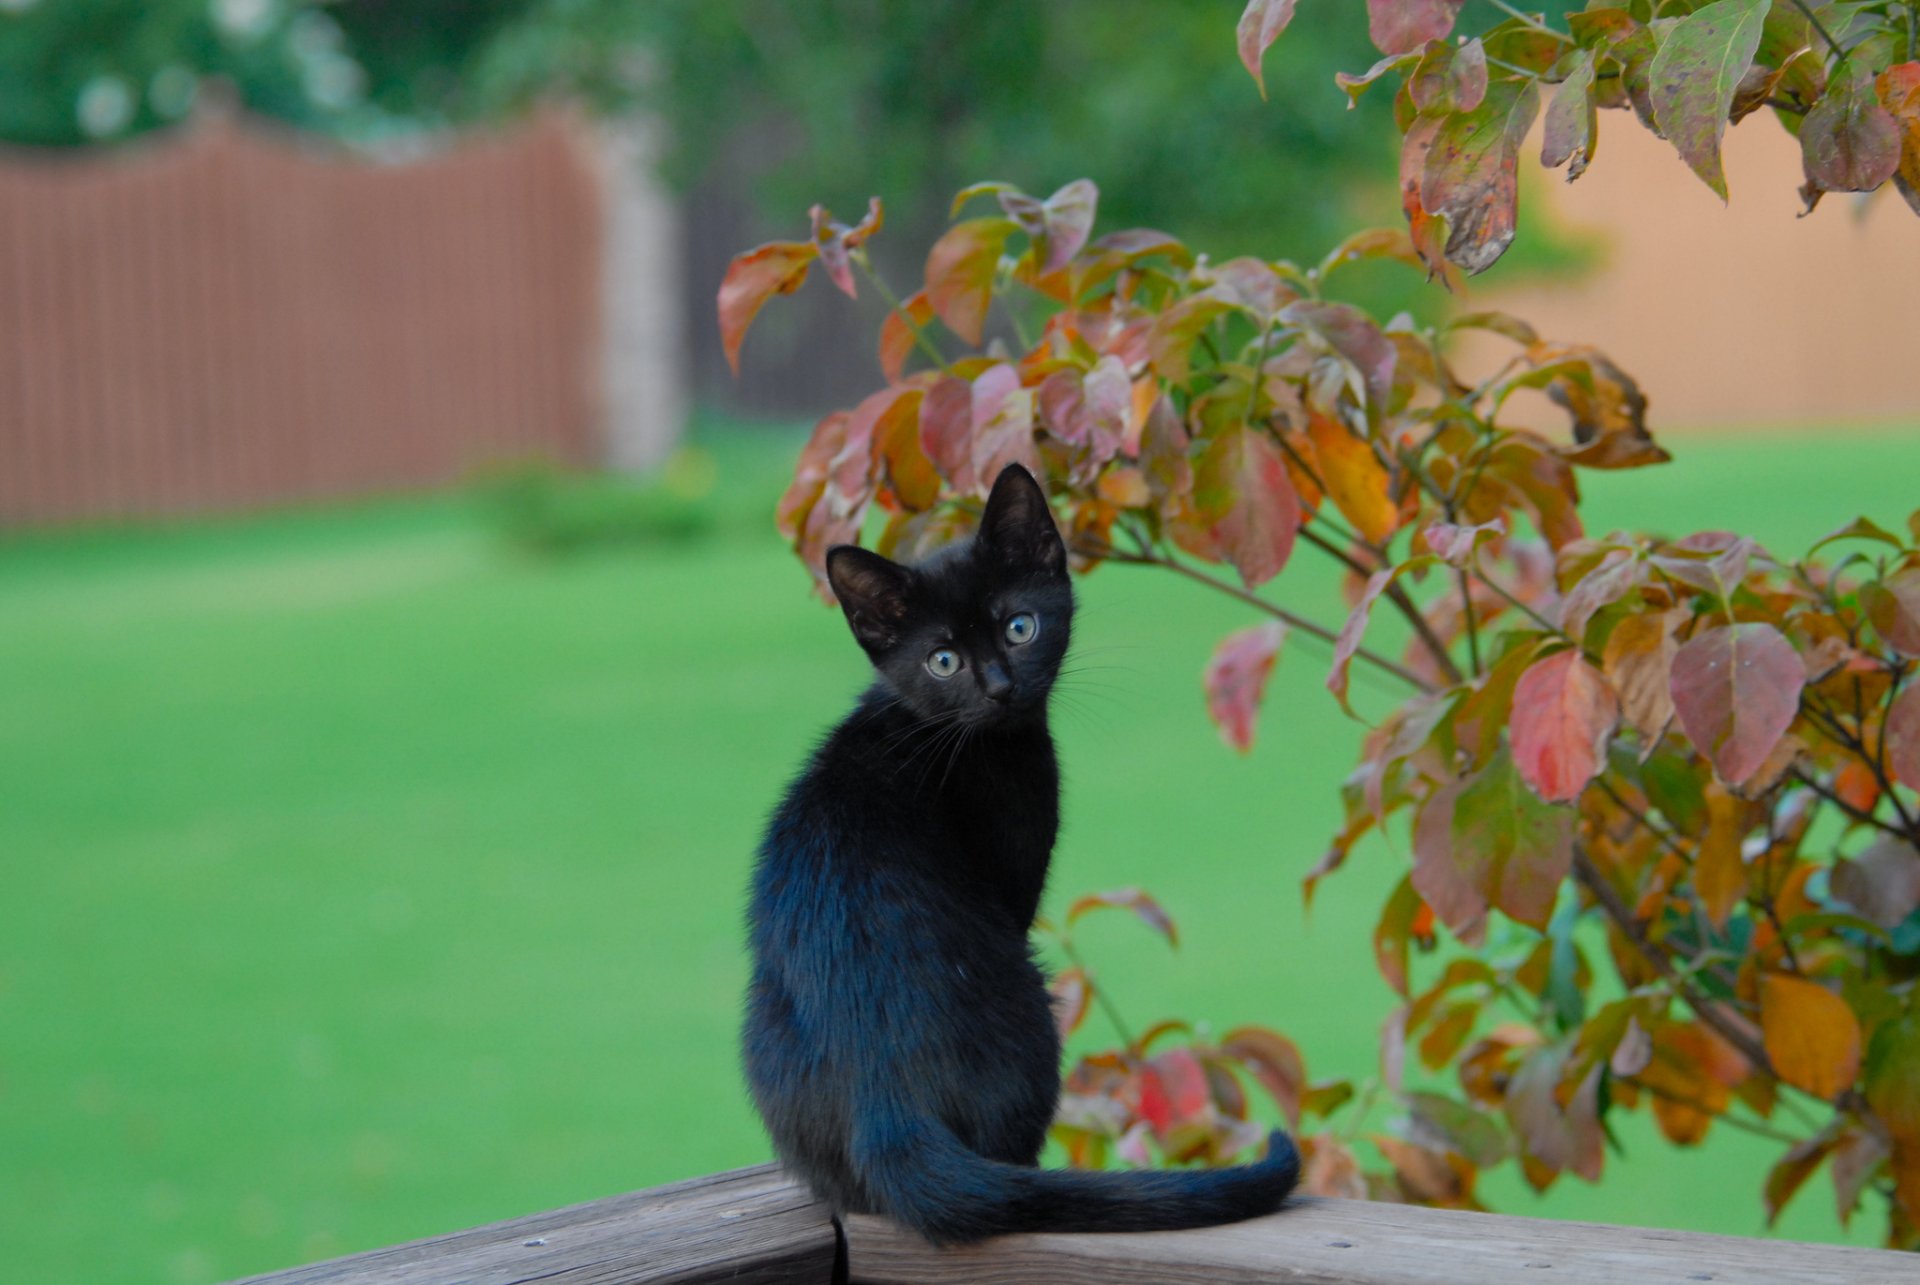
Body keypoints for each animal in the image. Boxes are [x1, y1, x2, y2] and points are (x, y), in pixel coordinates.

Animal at [741, 462, 1297, 1244]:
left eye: (1019, 626)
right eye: (943, 660)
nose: (1000, 687)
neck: (941, 731)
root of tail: (888, 1104)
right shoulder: (1016, 861)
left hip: (762, 1020)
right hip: (1030, 996)